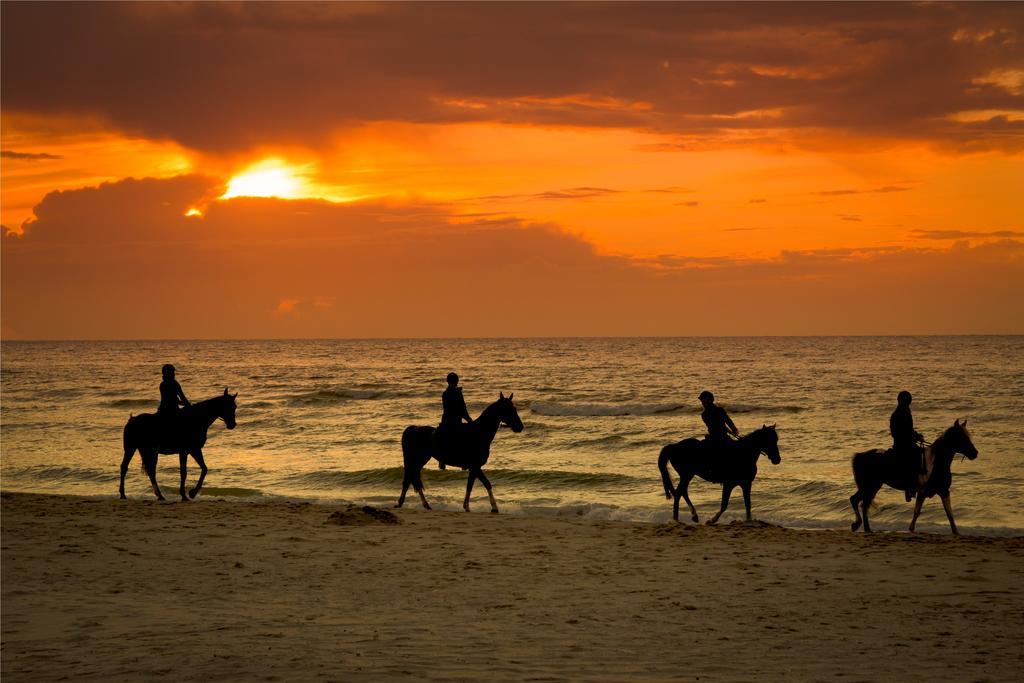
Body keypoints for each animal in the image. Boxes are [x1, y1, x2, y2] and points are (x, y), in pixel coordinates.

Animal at [395, 393, 524, 509]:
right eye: (507, 409)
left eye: (514, 408)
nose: (520, 427)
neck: (479, 433)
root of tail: (412, 429)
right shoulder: (475, 466)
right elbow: (481, 484)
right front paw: (491, 507)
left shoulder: (475, 468)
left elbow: (475, 485)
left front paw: (471, 506)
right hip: (417, 460)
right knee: (410, 479)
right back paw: (409, 503)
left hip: (418, 461)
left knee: (411, 479)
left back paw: (419, 504)